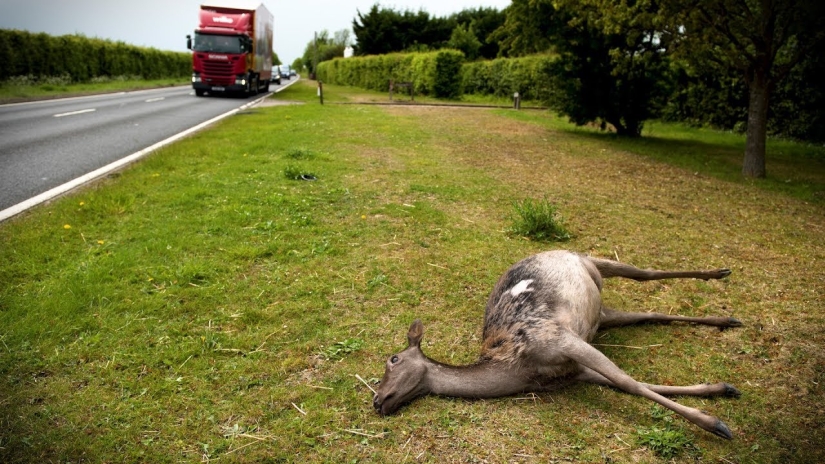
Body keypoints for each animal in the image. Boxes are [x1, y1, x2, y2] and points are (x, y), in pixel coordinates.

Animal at [373, 250, 743, 439]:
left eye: (393, 359)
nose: (377, 401)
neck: (521, 370)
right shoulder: (573, 372)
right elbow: (632, 384)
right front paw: (721, 388)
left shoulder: (559, 339)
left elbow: (629, 383)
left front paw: (717, 424)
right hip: (603, 314)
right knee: (645, 313)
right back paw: (726, 319)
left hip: (590, 260)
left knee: (643, 273)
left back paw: (719, 272)